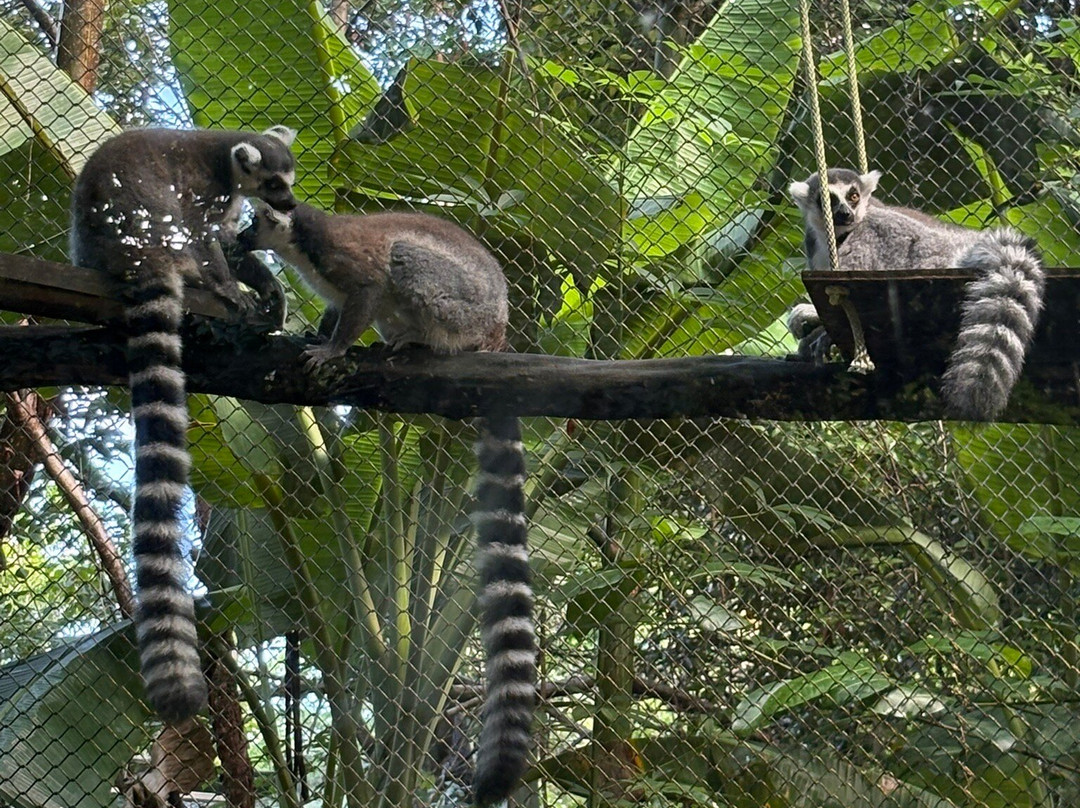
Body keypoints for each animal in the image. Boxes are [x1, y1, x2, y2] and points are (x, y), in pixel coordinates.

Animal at [69, 125, 299, 721]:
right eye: (274, 182)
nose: (289, 204)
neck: (226, 160)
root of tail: (130, 256)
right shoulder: (207, 191)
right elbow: (208, 237)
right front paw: (234, 287)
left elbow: (233, 243)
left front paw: (267, 285)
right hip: (156, 231)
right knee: (185, 240)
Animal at [238, 201, 535, 806]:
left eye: (254, 221)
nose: (239, 237)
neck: (304, 248)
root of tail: (497, 326)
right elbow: (336, 310)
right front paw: (317, 334)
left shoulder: (348, 262)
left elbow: (370, 287)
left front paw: (331, 348)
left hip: (457, 303)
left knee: (405, 259)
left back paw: (423, 344)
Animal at [788, 168, 1045, 421]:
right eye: (829, 200)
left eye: (853, 196)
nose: (845, 213)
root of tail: (964, 242)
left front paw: (815, 324)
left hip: (927, 252)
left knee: (873, 229)